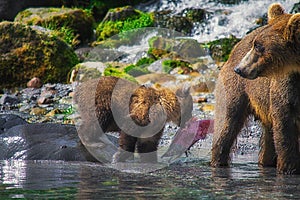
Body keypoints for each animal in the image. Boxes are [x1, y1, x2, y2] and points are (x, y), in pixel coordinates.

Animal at [211, 3, 300, 174]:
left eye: (259, 46)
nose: (240, 69)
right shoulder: (287, 90)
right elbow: (285, 129)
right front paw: (289, 168)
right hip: (236, 91)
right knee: (227, 124)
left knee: (268, 141)